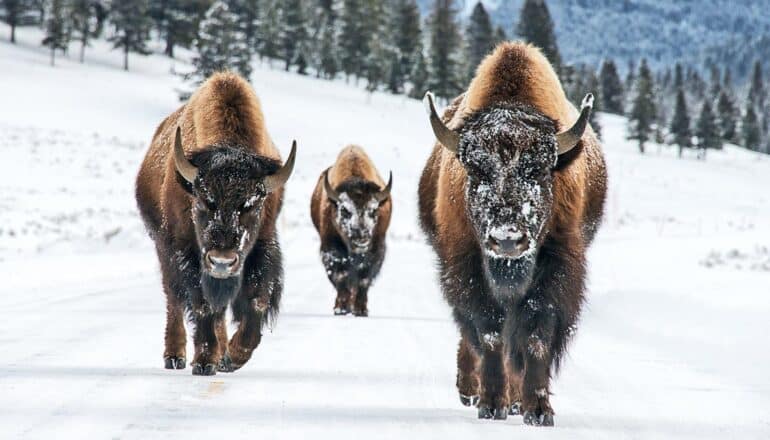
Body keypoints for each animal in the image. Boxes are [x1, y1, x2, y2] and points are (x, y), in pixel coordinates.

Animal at [136, 71, 296, 374]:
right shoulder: (185, 251)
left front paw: (234, 356)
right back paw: (174, 357)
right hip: (162, 247)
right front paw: (205, 360)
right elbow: (202, 305)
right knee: (174, 298)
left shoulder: (263, 244)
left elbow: (257, 299)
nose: (222, 261)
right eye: (202, 200)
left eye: (252, 205)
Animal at [310, 147, 392, 316]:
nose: (361, 236)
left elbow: (364, 279)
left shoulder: (376, 251)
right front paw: (341, 308)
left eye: (374, 210)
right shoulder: (331, 250)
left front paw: (360, 309)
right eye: (345, 211)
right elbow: (341, 277)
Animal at [416, 43, 608, 424]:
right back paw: (471, 391)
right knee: (472, 335)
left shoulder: (555, 273)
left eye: (539, 169)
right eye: (476, 169)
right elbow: (490, 335)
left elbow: (533, 337)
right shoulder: (466, 269)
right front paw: (492, 403)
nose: (507, 239)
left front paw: (537, 409)